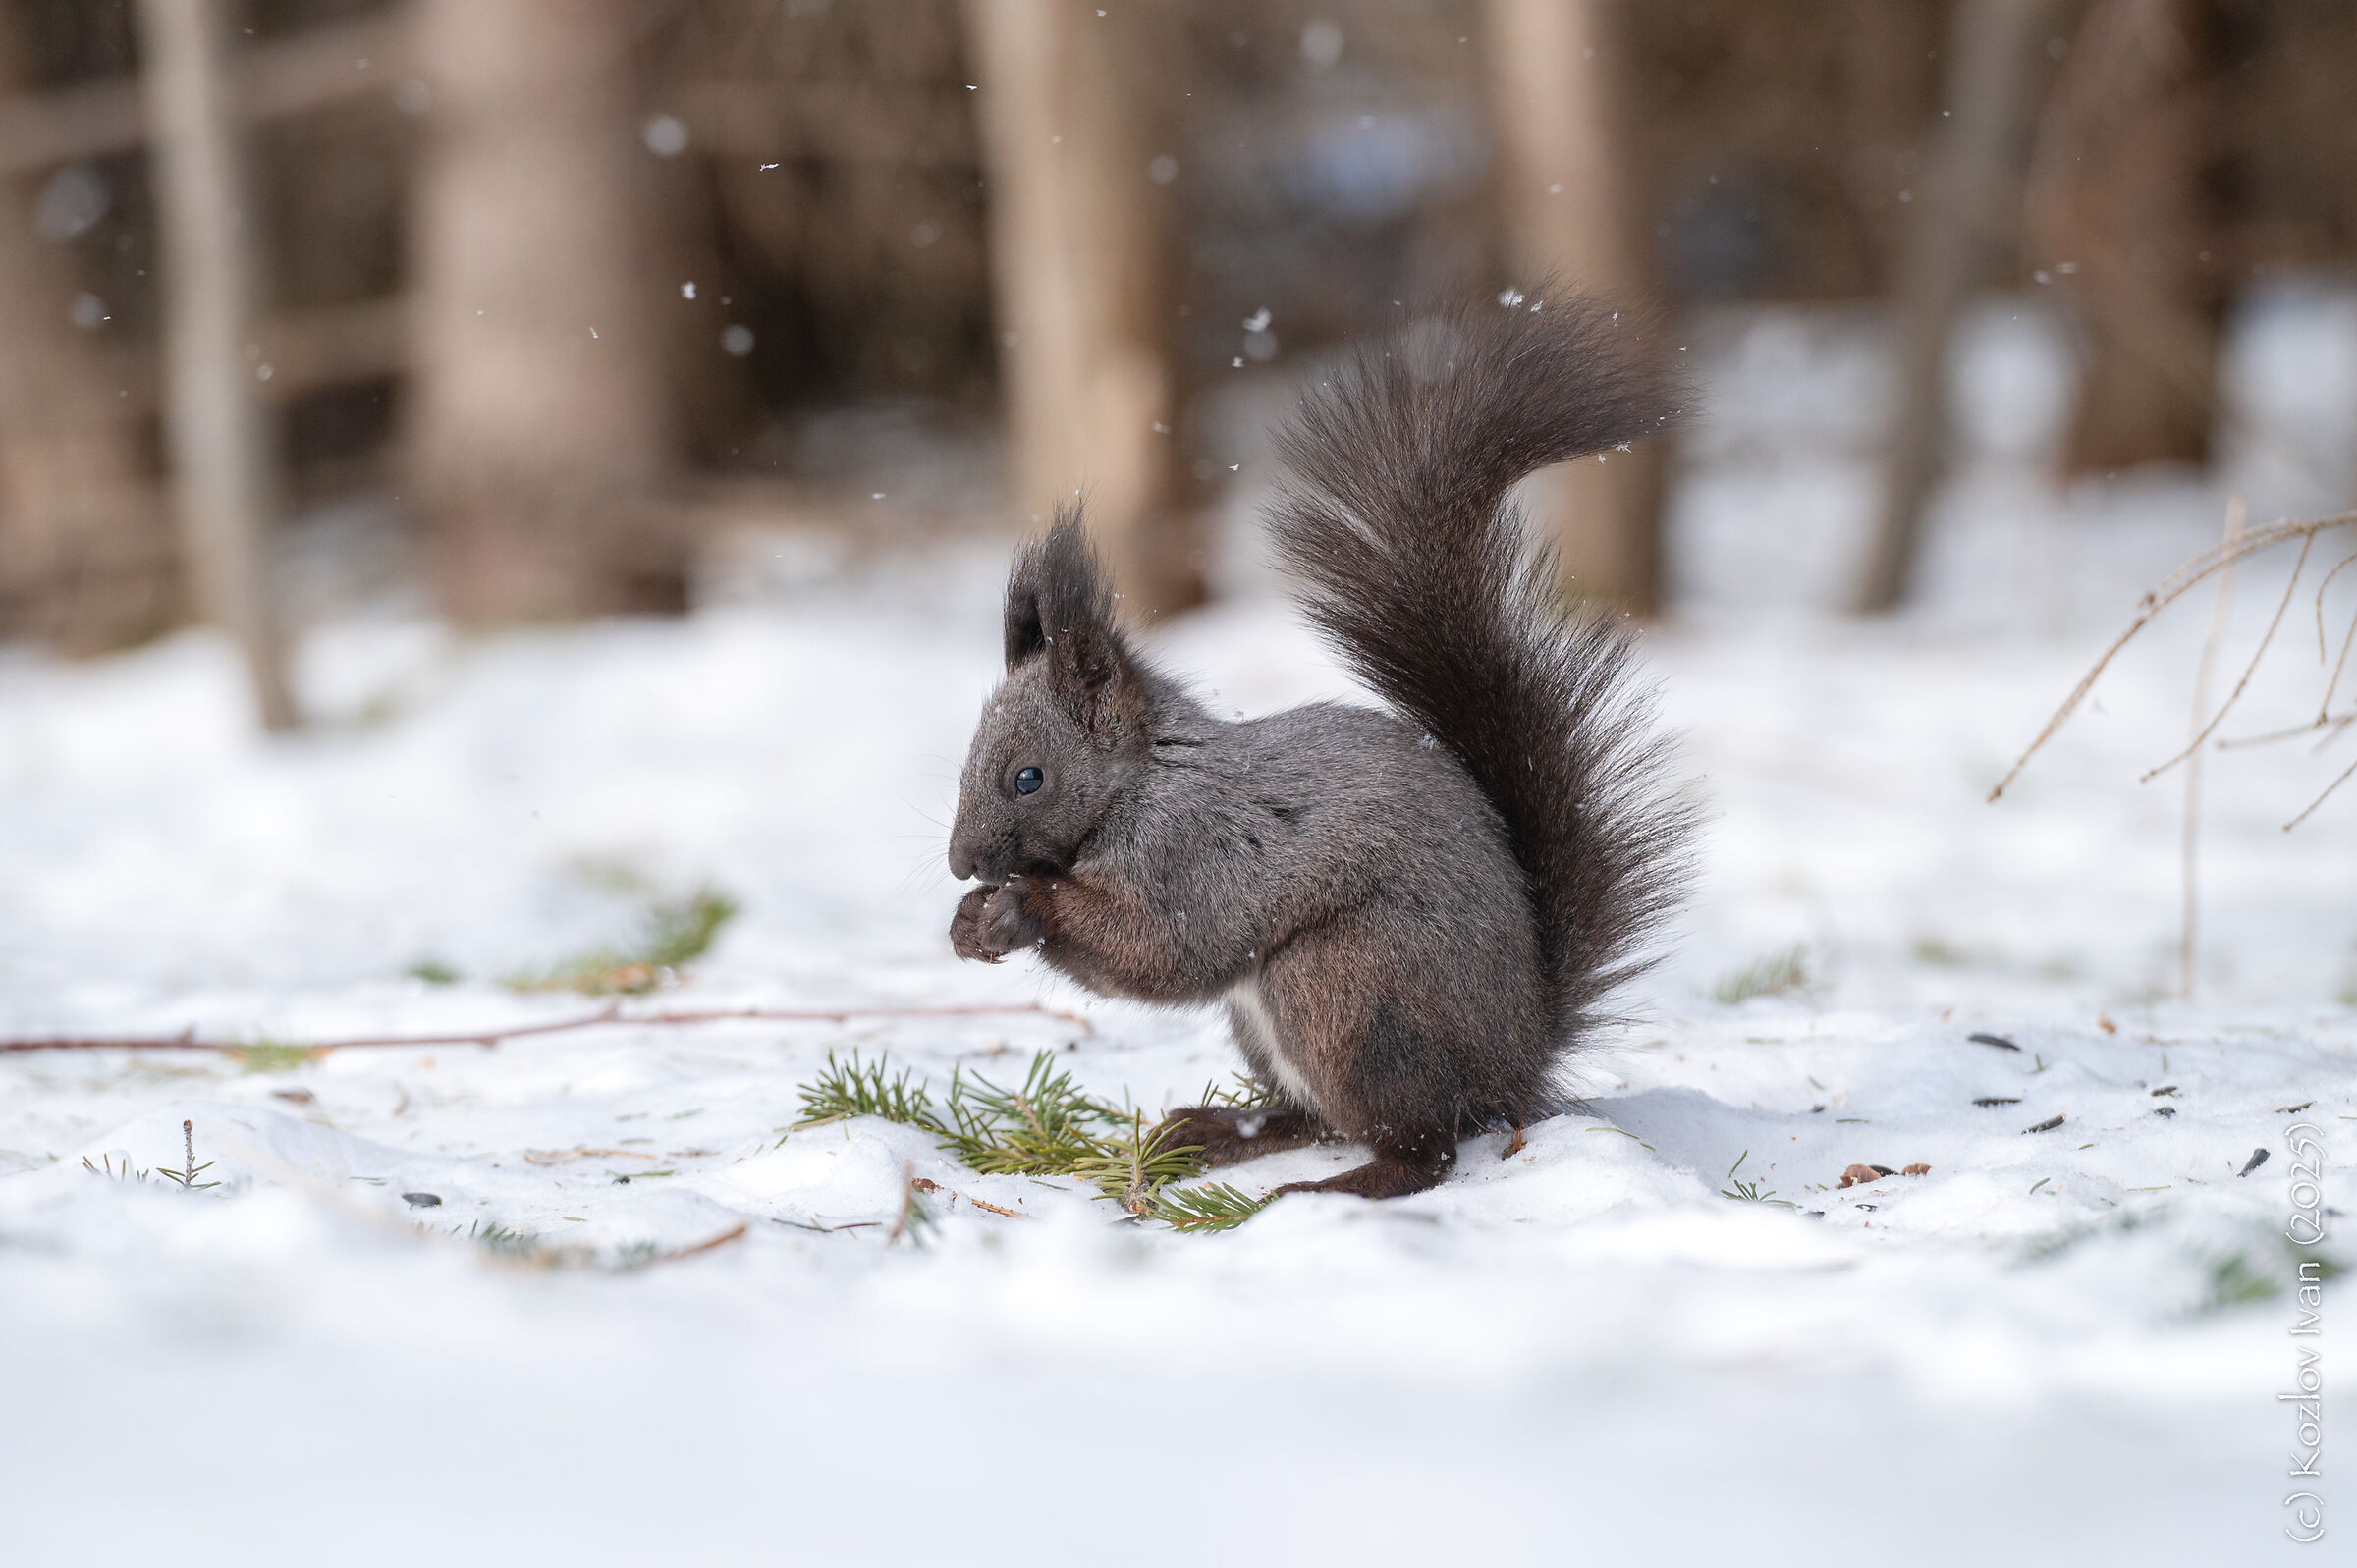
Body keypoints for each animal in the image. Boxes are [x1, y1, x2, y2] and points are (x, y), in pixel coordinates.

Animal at [946, 292, 1693, 1199]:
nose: (960, 863)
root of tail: (1518, 1060)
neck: (1145, 779)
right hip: (1274, 1023)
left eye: (1029, 777)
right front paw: (968, 924)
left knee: (1423, 1143)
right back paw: (1217, 1132)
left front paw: (1023, 904)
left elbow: (1163, 947)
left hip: (1342, 984)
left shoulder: (1195, 853)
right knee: (1315, 1118)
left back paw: (1335, 1188)